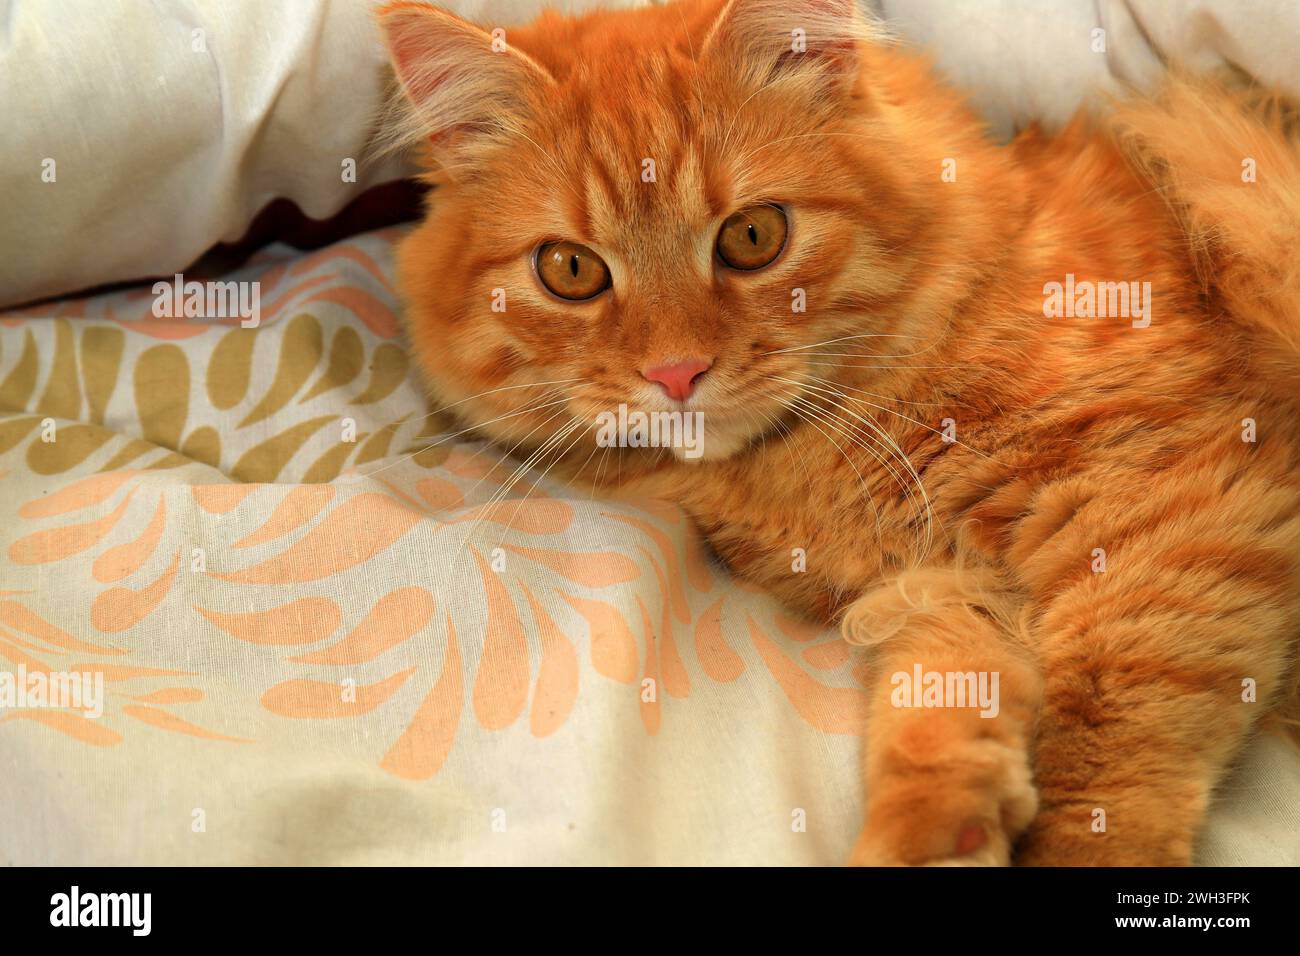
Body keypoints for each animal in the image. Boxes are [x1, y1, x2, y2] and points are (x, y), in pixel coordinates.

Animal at [379, 0, 1300, 868]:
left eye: (754, 236)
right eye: (570, 270)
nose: (676, 372)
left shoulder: (1165, 502)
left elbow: (1113, 737)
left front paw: (1083, 847)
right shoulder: (942, 586)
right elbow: (935, 712)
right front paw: (934, 836)